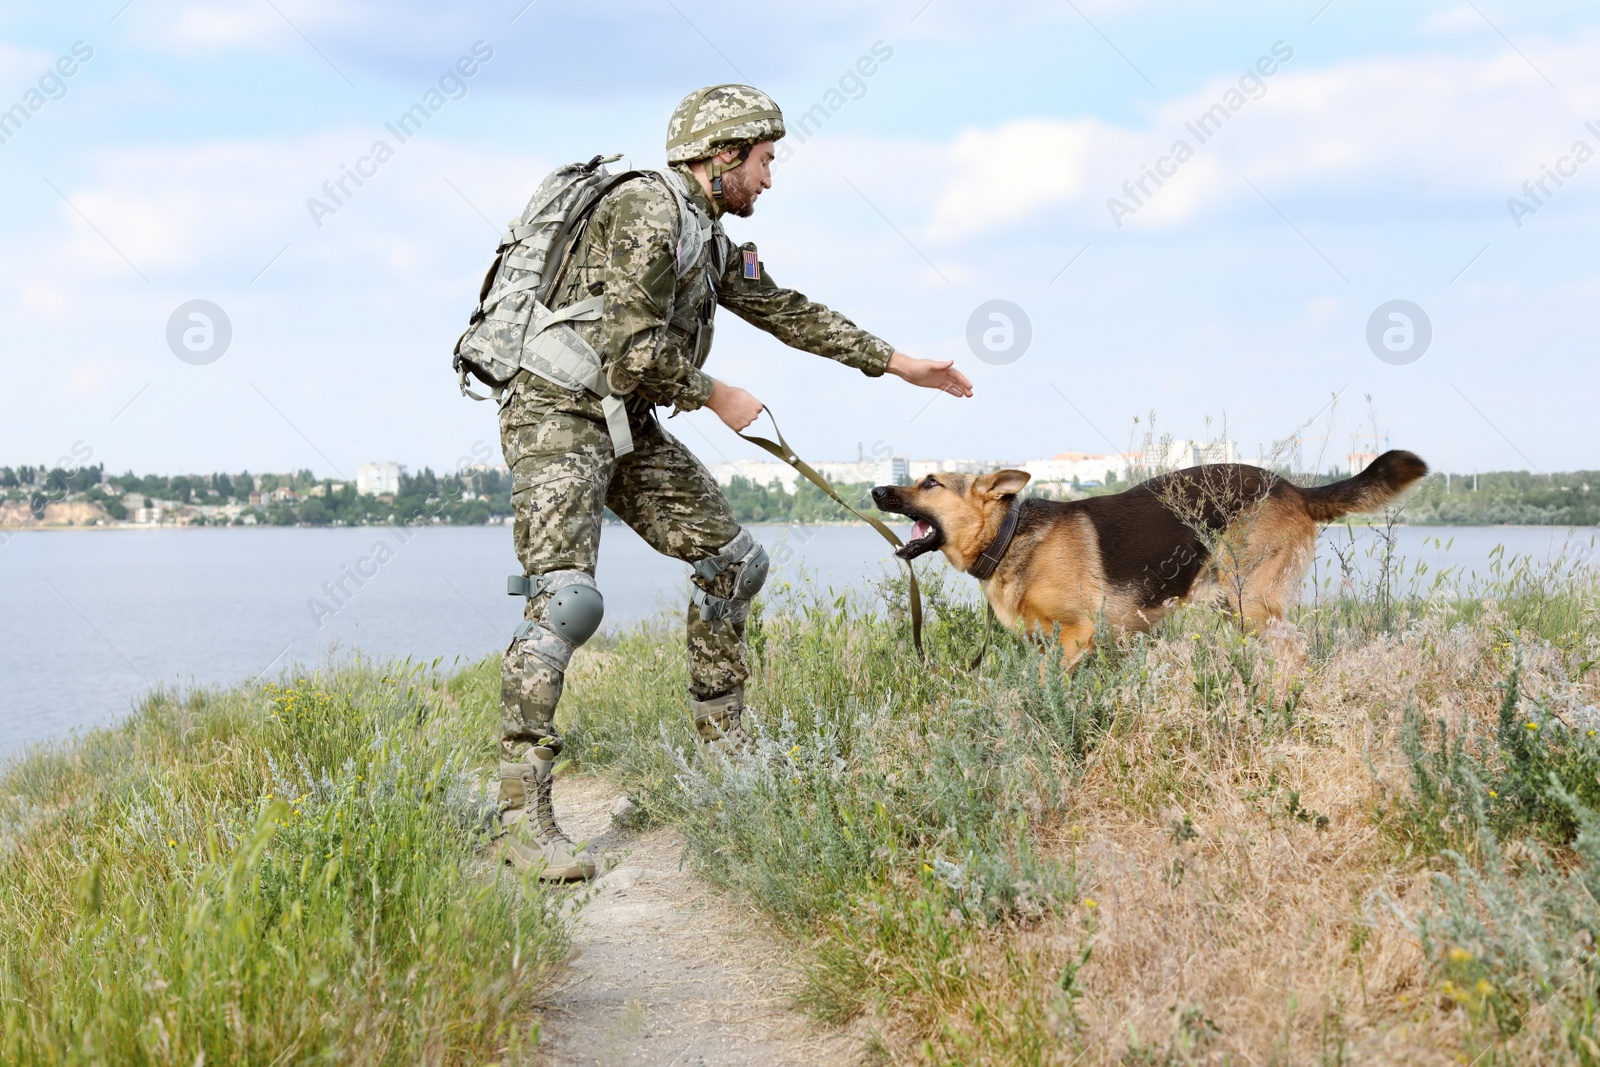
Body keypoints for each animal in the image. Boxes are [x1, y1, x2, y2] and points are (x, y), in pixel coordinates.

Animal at [876, 454, 1427, 668]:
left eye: (930, 483)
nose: (876, 490)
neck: (1008, 536)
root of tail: (1291, 486)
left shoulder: (1076, 636)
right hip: (1233, 604)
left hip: (1250, 601)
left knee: (1295, 649)